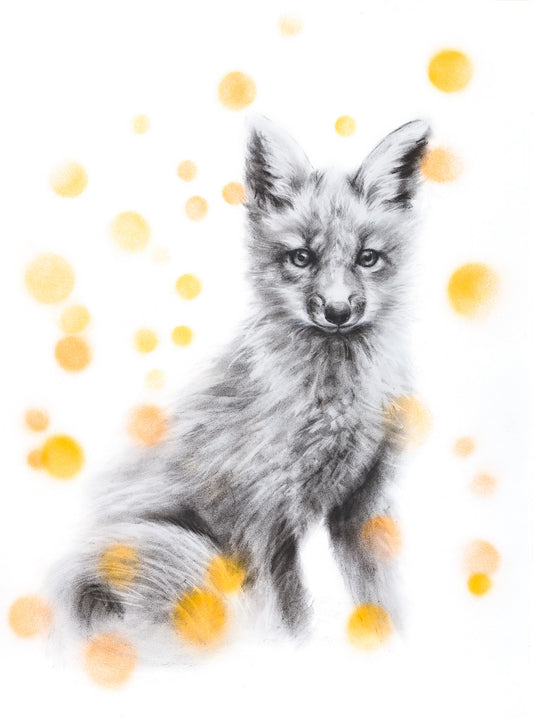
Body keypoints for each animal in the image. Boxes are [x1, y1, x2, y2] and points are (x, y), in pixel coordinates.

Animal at [50, 116, 430, 656]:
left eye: (368, 258)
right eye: (301, 257)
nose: (337, 312)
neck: (334, 401)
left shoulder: (364, 502)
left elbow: (382, 602)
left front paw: (393, 646)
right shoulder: (265, 515)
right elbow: (291, 619)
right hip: (195, 557)